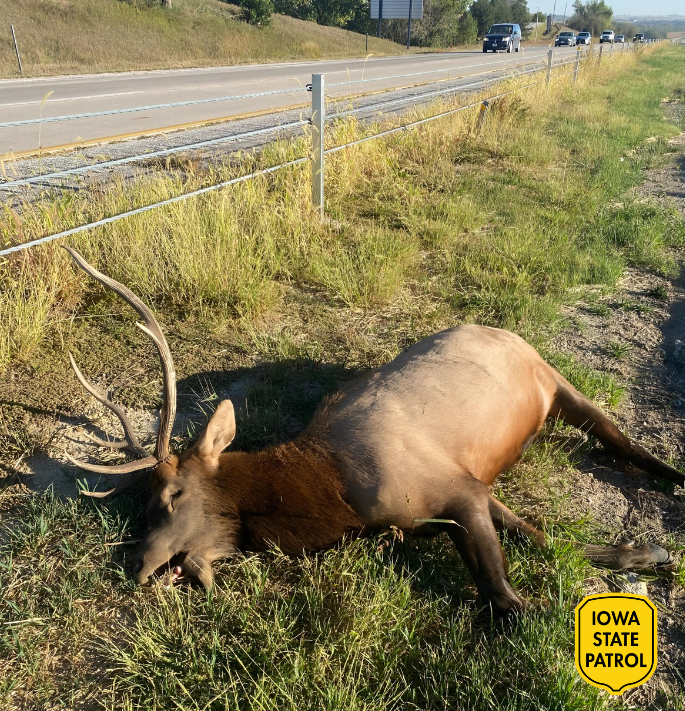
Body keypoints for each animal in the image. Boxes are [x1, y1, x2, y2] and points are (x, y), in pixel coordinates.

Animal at [61, 247, 684, 616]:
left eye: (171, 496)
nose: (138, 567)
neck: (337, 499)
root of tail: (504, 329)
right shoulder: (465, 491)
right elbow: (544, 538)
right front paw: (648, 553)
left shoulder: (453, 489)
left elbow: (507, 596)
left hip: (554, 380)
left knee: (616, 433)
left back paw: (672, 476)